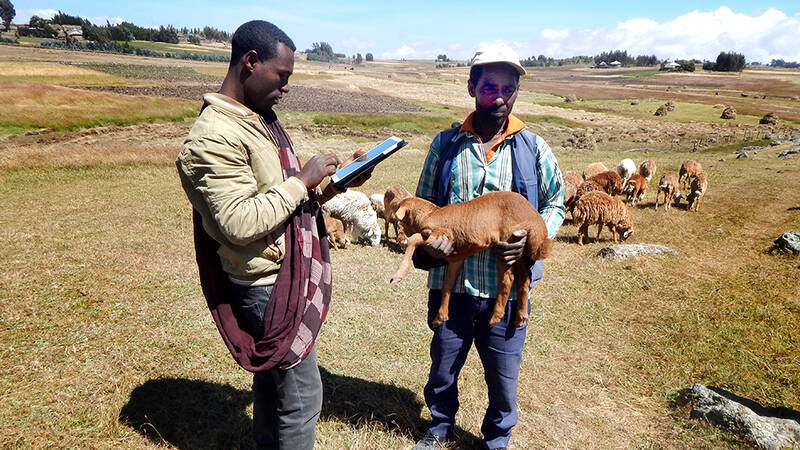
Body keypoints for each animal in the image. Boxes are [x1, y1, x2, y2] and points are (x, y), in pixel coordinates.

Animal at [386, 191, 552, 326]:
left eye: (401, 221)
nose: (400, 236)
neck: (429, 214)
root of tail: (536, 220)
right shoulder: (455, 258)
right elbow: (447, 285)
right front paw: (440, 317)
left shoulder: (439, 234)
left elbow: (414, 239)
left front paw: (398, 275)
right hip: (520, 251)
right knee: (524, 279)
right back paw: (521, 316)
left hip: (507, 242)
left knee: (508, 279)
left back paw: (495, 317)